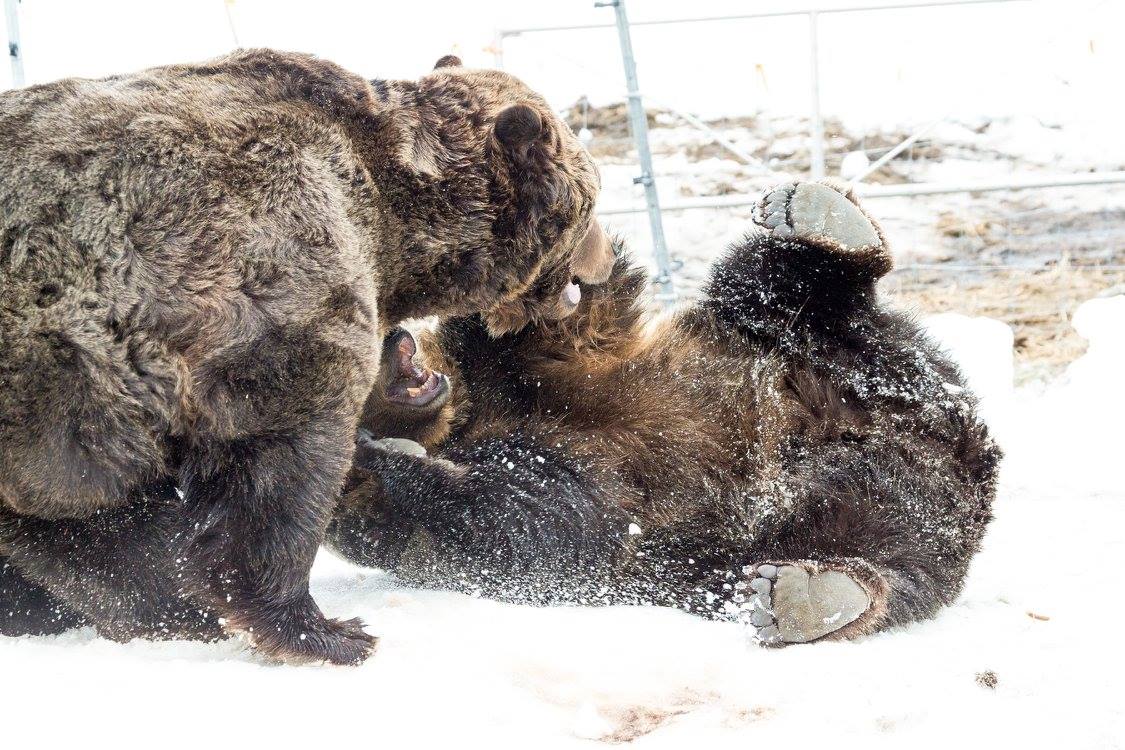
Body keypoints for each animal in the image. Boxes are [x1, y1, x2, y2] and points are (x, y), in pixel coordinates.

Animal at [0, 49, 612, 663]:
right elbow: (283, 466)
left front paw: (175, 607)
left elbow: (83, 529)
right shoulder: (268, 285)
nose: (606, 259)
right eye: (595, 201)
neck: (393, 220)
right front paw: (324, 630)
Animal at [326, 180, 1002, 645]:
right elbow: (533, 519)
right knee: (892, 570)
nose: (396, 338)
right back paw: (810, 595)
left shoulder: (529, 366)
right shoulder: (427, 524)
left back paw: (820, 217)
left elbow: (567, 317)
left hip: (824, 349)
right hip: (857, 523)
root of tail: (961, 454)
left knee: (771, 284)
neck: (464, 414)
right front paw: (394, 458)